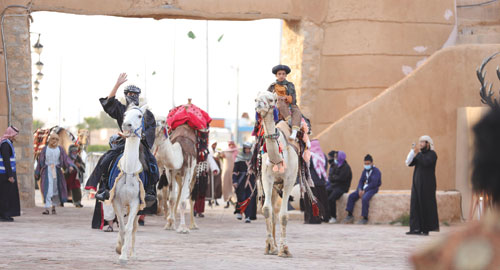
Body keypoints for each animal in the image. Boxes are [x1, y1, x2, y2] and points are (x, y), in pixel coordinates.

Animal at [256, 92, 298, 258]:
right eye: (256, 98)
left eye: (271, 100)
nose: (259, 105)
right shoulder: (266, 179)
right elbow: (266, 210)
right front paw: (270, 247)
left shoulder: (289, 180)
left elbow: (284, 215)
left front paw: (284, 249)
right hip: (271, 186)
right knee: (272, 211)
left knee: (277, 212)